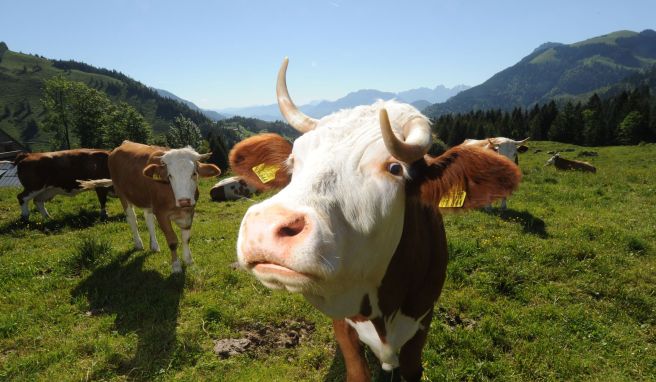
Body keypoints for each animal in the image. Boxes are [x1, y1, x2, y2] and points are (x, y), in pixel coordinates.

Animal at [81, 142, 220, 274]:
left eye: (194, 173)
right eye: (170, 176)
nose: (184, 200)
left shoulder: (189, 211)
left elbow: (186, 238)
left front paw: (189, 260)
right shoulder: (161, 214)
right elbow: (172, 241)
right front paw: (176, 266)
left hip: (147, 200)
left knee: (148, 220)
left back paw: (154, 245)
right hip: (121, 193)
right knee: (132, 219)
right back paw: (138, 243)